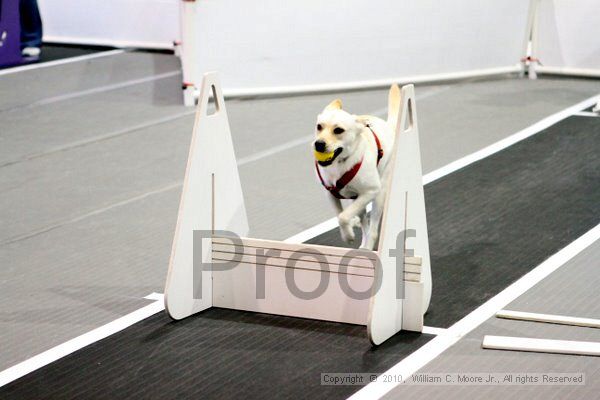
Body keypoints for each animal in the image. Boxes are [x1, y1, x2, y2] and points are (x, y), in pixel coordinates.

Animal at [312, 84, 400, 248]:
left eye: (338, 130)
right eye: (319, 127)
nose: (318, 144)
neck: (339, 163)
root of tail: (388, 126)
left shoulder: (371, 191)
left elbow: (343, 216)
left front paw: (349, 236)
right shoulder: (330, 194)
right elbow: (339, 214)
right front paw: (347, 233)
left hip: (379, 196)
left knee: (372, 231)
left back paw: (368, 246)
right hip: (357, 200)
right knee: (365, 225)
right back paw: (363, 244)